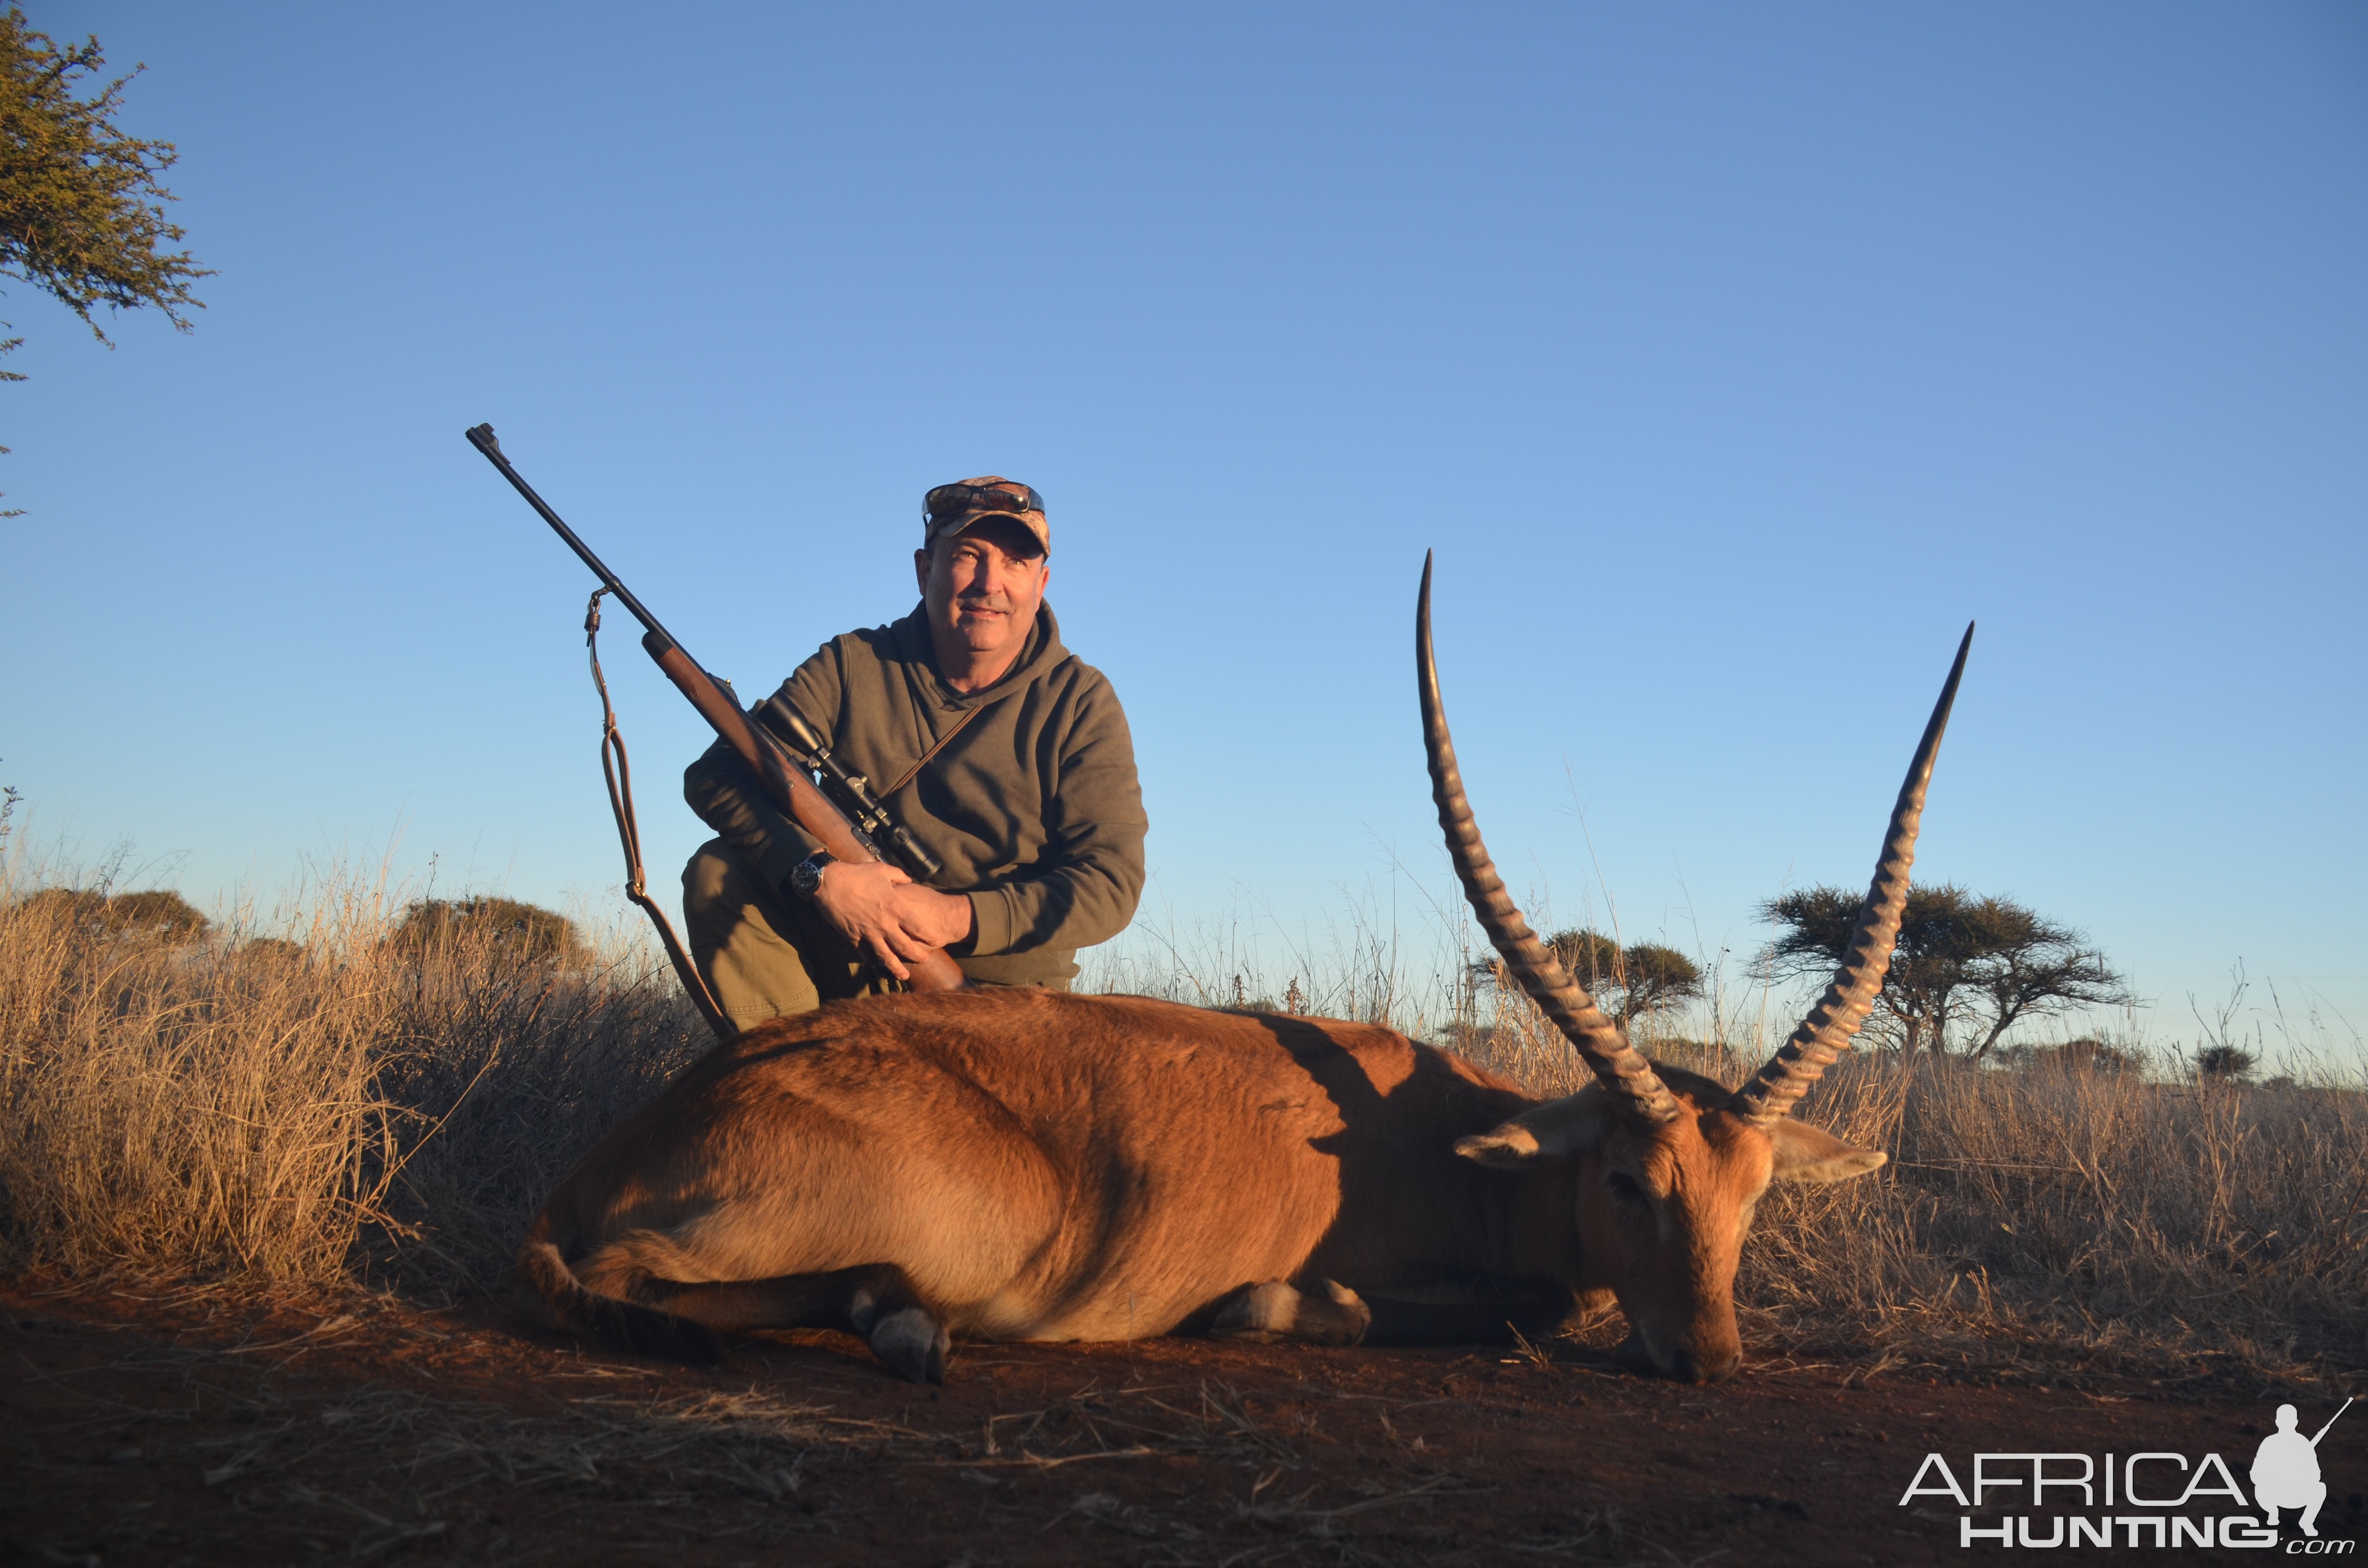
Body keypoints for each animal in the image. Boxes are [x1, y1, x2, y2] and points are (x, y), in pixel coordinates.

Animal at [523, 556, 1979, 1393]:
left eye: (1757, 1195)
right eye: (1630, 1180)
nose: (1710, 1360)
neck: (1443, 1133)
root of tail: (610, 1151)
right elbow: (1516, 1310)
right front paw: (1282, 1303)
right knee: (635, 1277)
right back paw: (909, 1329)